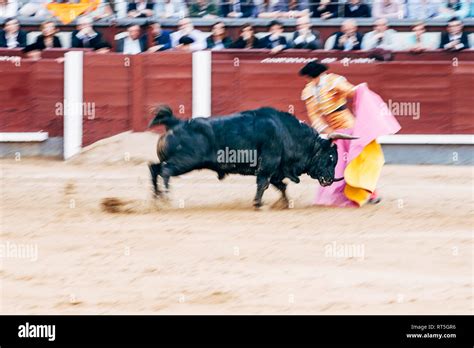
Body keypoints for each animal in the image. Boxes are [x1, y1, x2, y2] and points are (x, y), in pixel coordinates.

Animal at [148, 104, 356, 208]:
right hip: (184, 162)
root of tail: (175, 122)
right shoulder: (268, 166)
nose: (328, 179)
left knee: (154, 168)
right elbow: (263, 184)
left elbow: (281, 186)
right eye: (330, 157)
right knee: (165, 171)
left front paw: (283, 203)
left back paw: (157, 198)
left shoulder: (277, 170)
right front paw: (257, 203)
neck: (287, 133)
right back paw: (165, 198)